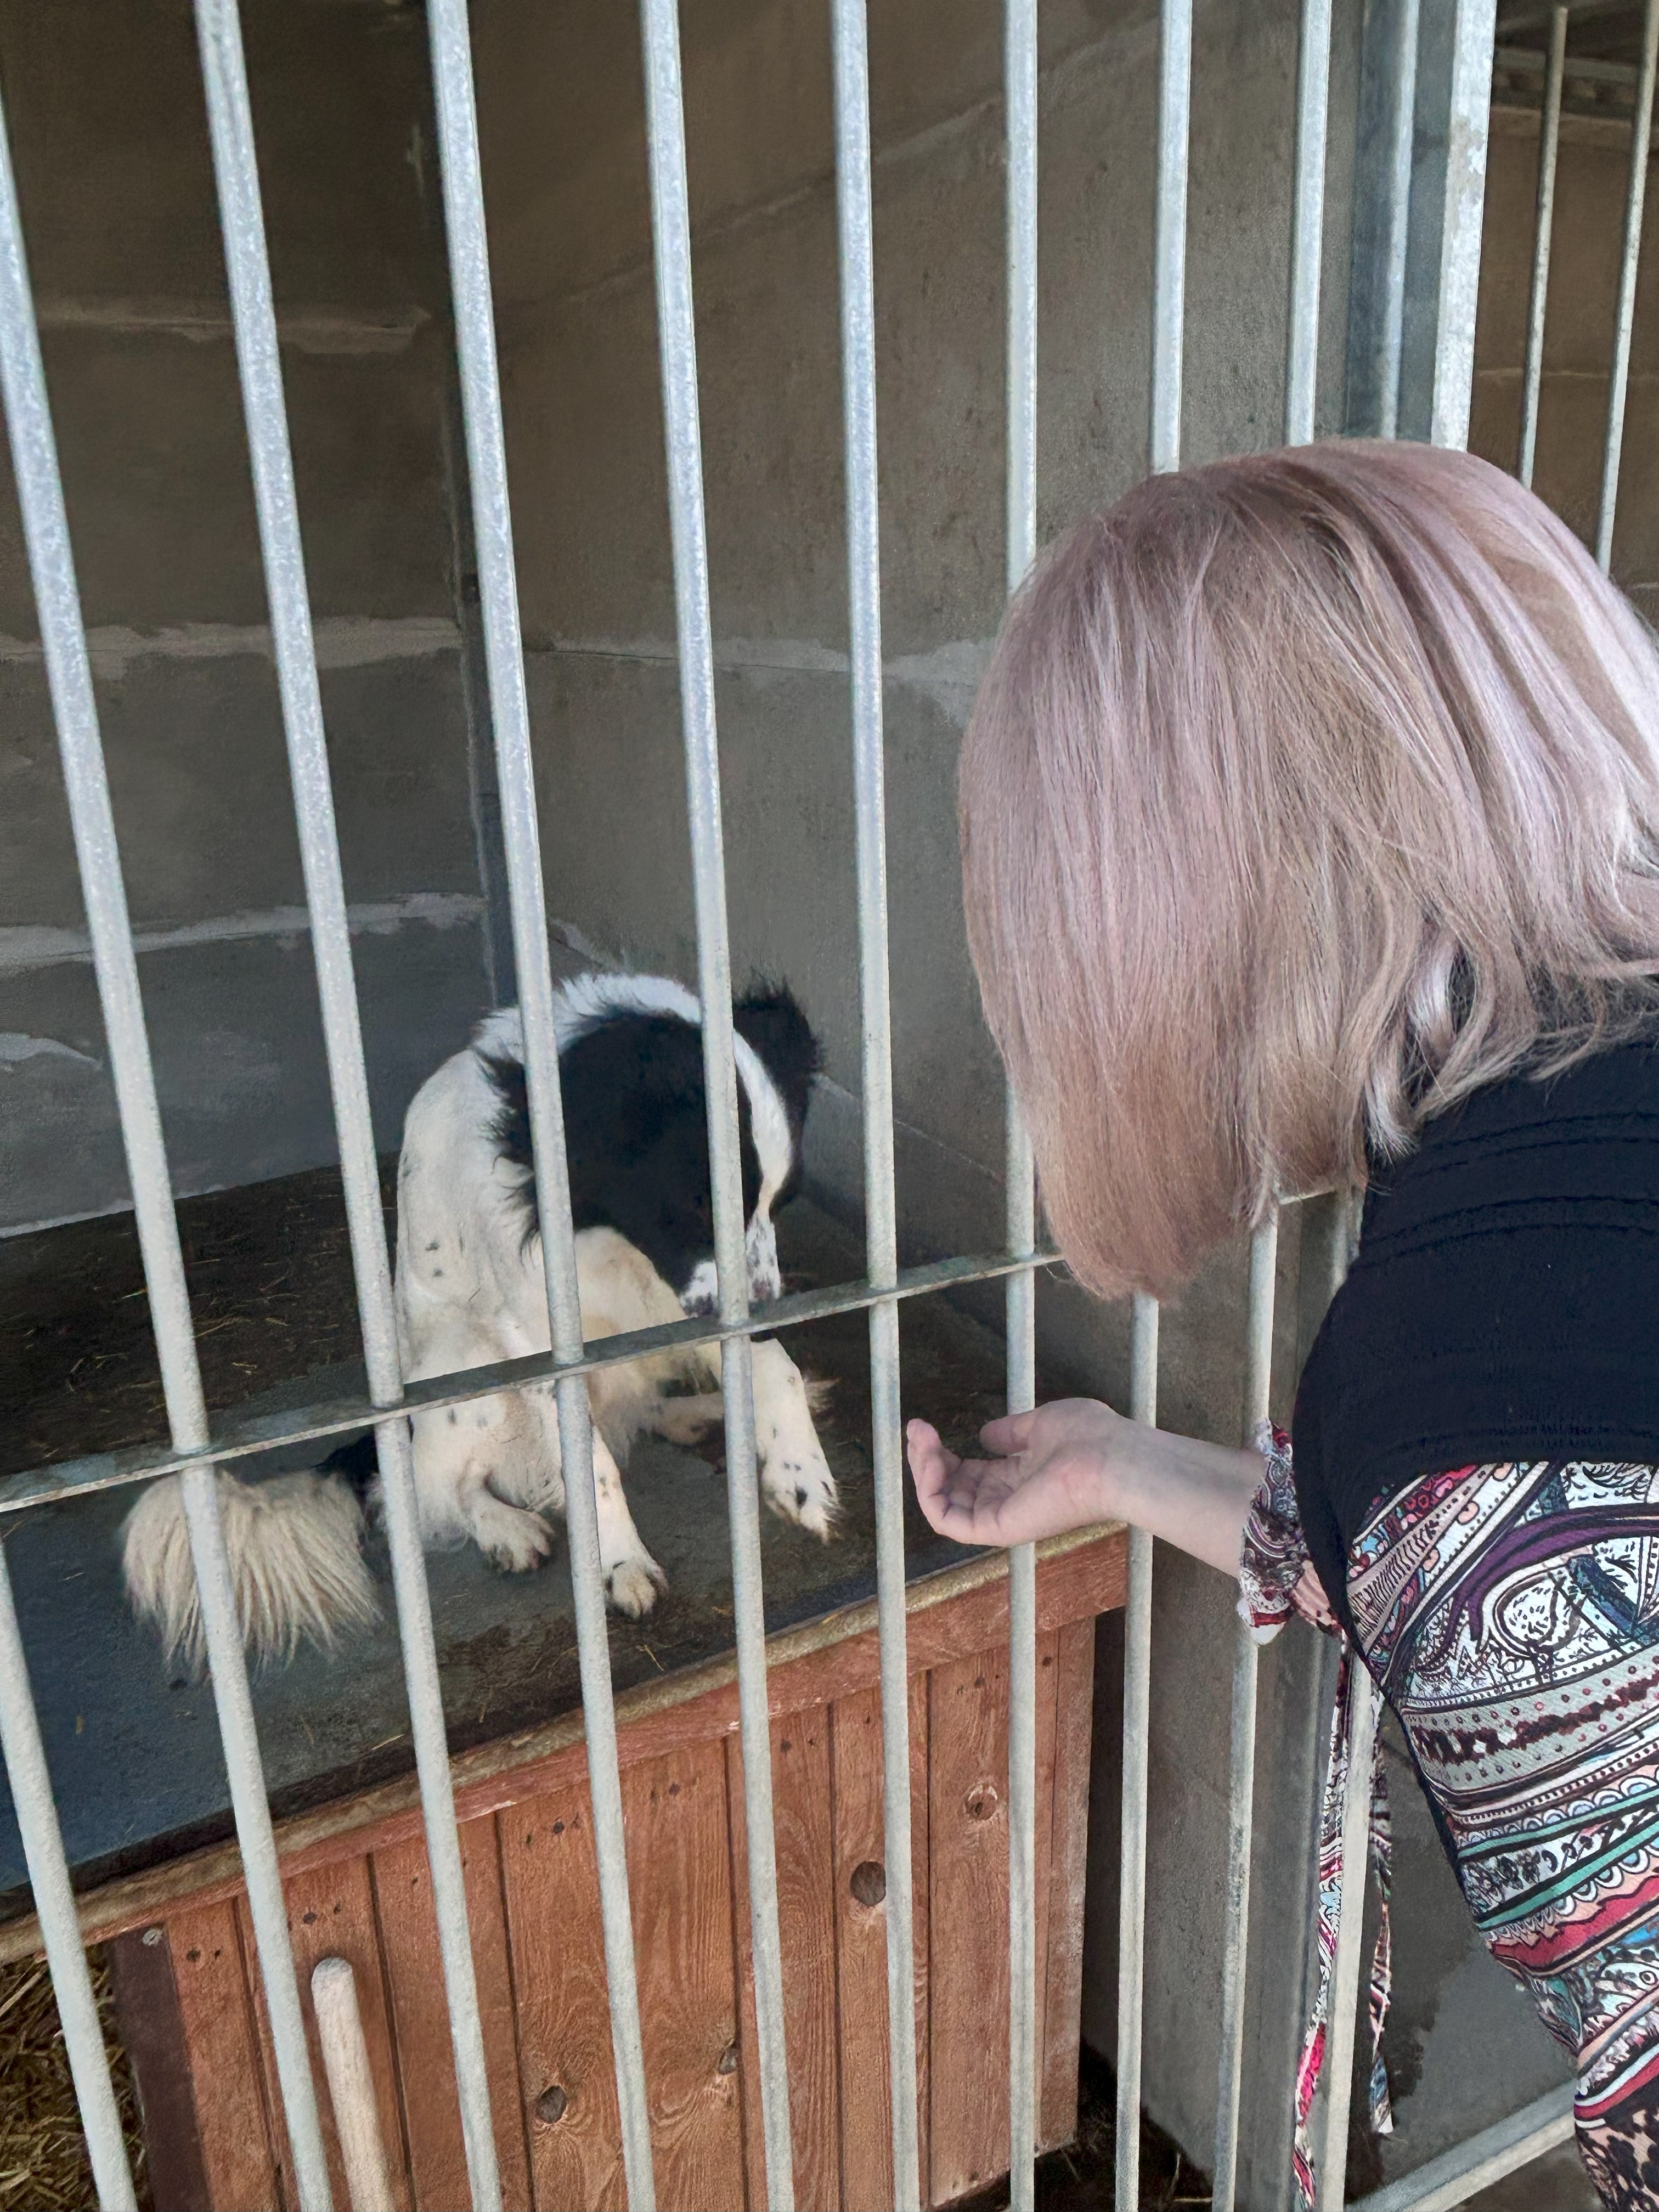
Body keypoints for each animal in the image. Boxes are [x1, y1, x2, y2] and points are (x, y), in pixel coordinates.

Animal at [122, 971, 838, 1664]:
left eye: (783, 1201)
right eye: (697, 1204)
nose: (768, 1315)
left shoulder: (688, 1301)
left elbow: (776, 1366)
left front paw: (801, 1473)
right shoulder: (538, 1338)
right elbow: (592, 1465)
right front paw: (621, 1560)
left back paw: (699, 1412)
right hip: (471, 1359)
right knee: (423, 1495)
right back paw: (503, 1526)